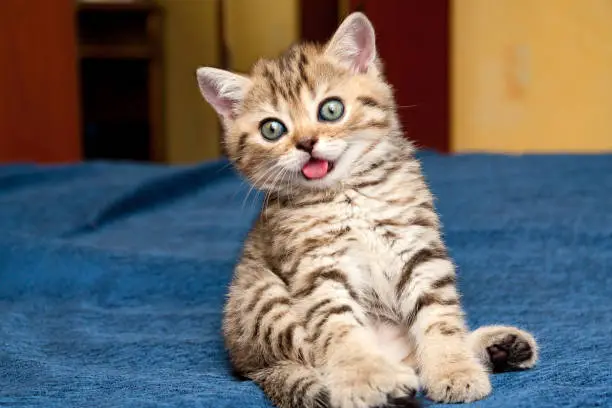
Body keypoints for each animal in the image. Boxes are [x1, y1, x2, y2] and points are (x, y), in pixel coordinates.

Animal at [196, 11, 536, 408]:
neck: (348, 193)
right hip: (260, 296)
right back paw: (388, 383)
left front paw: (453, 367)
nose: (306, 143)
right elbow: (339, 326)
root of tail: (251, 368)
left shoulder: (417, 249)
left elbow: (438, 313)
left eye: (331, 109)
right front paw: (366, 376)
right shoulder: (317, 269)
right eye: (272, 129)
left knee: (412, 356)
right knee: (313, 360)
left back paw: (497, 347)